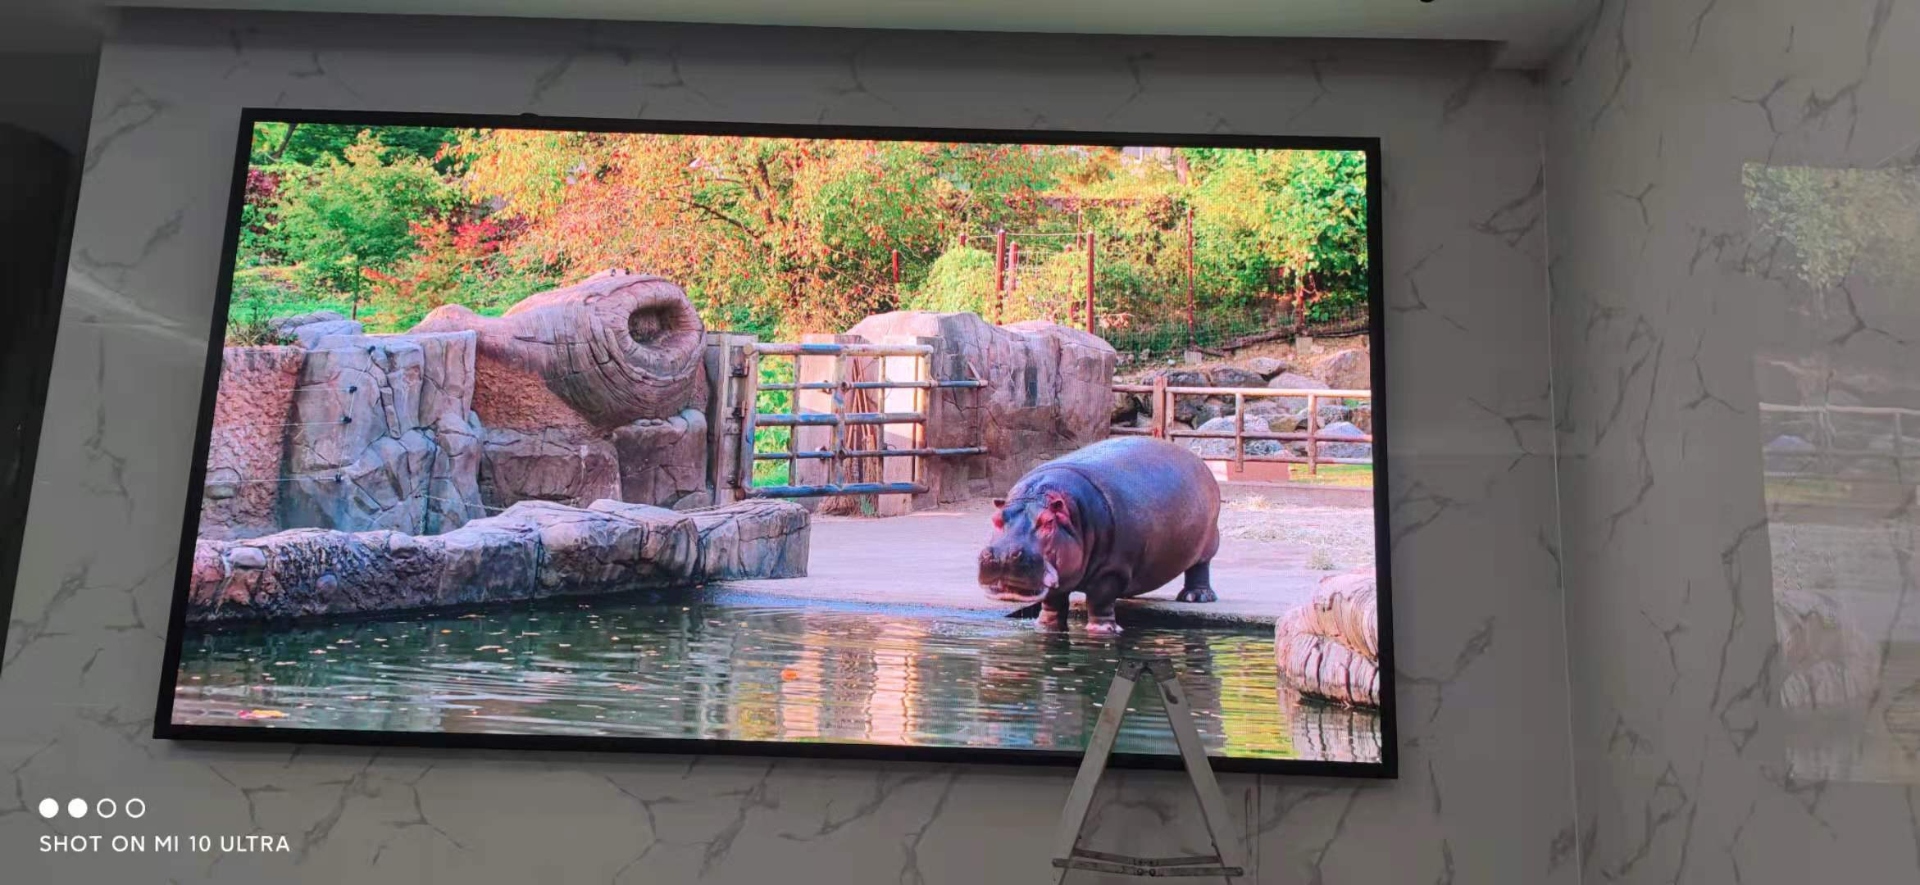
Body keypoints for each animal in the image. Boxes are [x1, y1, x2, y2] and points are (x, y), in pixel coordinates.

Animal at [978, 437, 1222, 634]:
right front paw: (1046, 626)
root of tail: (1194, 457)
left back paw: (1195, 597)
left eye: (1048, 522)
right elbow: (1053, 602)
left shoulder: (1112, 569)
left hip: (1209, 541)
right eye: (996, 518)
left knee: (1200, 568)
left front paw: (1103, 630)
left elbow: (1100, 600)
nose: (1004, 554)